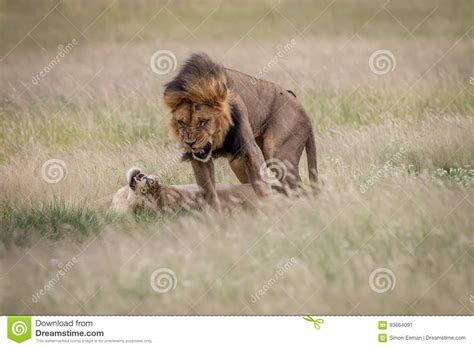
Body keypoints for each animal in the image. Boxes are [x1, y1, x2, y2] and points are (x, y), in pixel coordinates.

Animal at [164, 53, 318, 208]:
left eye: (203, 122)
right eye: (181, 122)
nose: (190, 143)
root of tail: (301, 107)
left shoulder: (251, 151)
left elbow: (262, 189)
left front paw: (268, 208)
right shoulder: (200, 160)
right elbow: (209, 193)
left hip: (279, 154)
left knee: (299, 190)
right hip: (238, 164)